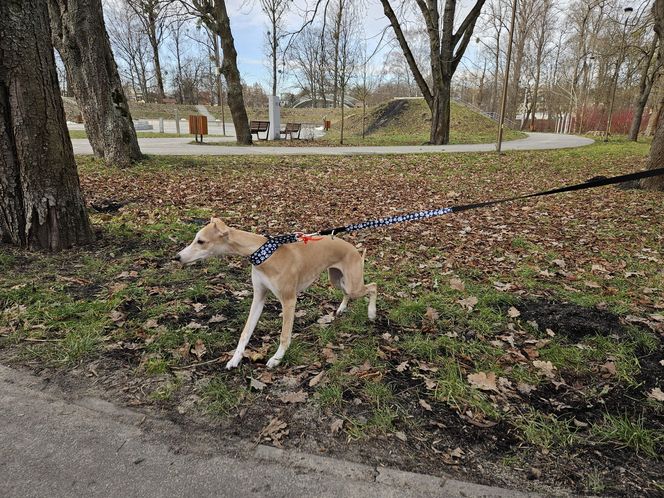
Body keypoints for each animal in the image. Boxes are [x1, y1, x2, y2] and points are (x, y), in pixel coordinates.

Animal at [174, 219, 376, 370]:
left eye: (201, 241)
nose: (177, 257)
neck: (263, 254)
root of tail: (354, 249)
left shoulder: (289, 300)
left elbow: (284, 335)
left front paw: (277, 359)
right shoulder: (258, 297)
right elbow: (245, 332)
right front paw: (235, 359)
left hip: (352, 284)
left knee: (373, 286)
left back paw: (372, 313)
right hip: (337, 280)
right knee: (349, 293)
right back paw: (342, 308)